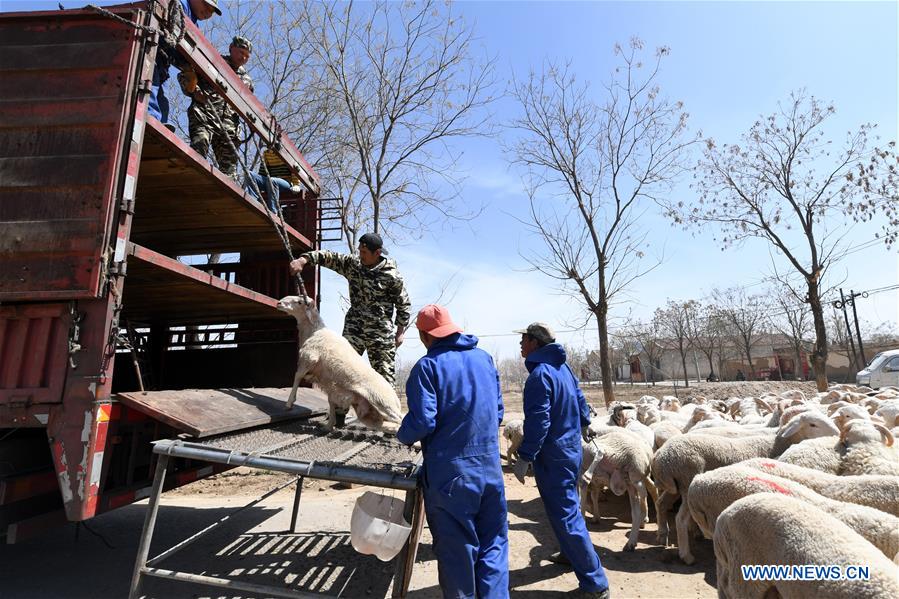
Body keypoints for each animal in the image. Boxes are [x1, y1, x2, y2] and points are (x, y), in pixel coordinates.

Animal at [274, 296, 400, 432]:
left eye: (299, 302)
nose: (279, 303)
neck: (314, 331)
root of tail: (396, 400)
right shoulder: (329, 384)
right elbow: (331, 402)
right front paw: (328, 426)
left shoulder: (309, 357)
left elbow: (297, 376)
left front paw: (289, 403)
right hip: (368, 413)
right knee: (391, 426)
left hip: (384, 405)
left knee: (401, 419)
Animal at [652, 410, 840, 564]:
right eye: (813, 424)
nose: (838, 435)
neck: (776, 442)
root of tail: (662, 457)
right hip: (687, 481)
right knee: (680, 519)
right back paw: (686, 555)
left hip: (676, 487)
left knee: (661, 503)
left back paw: (662, 535)